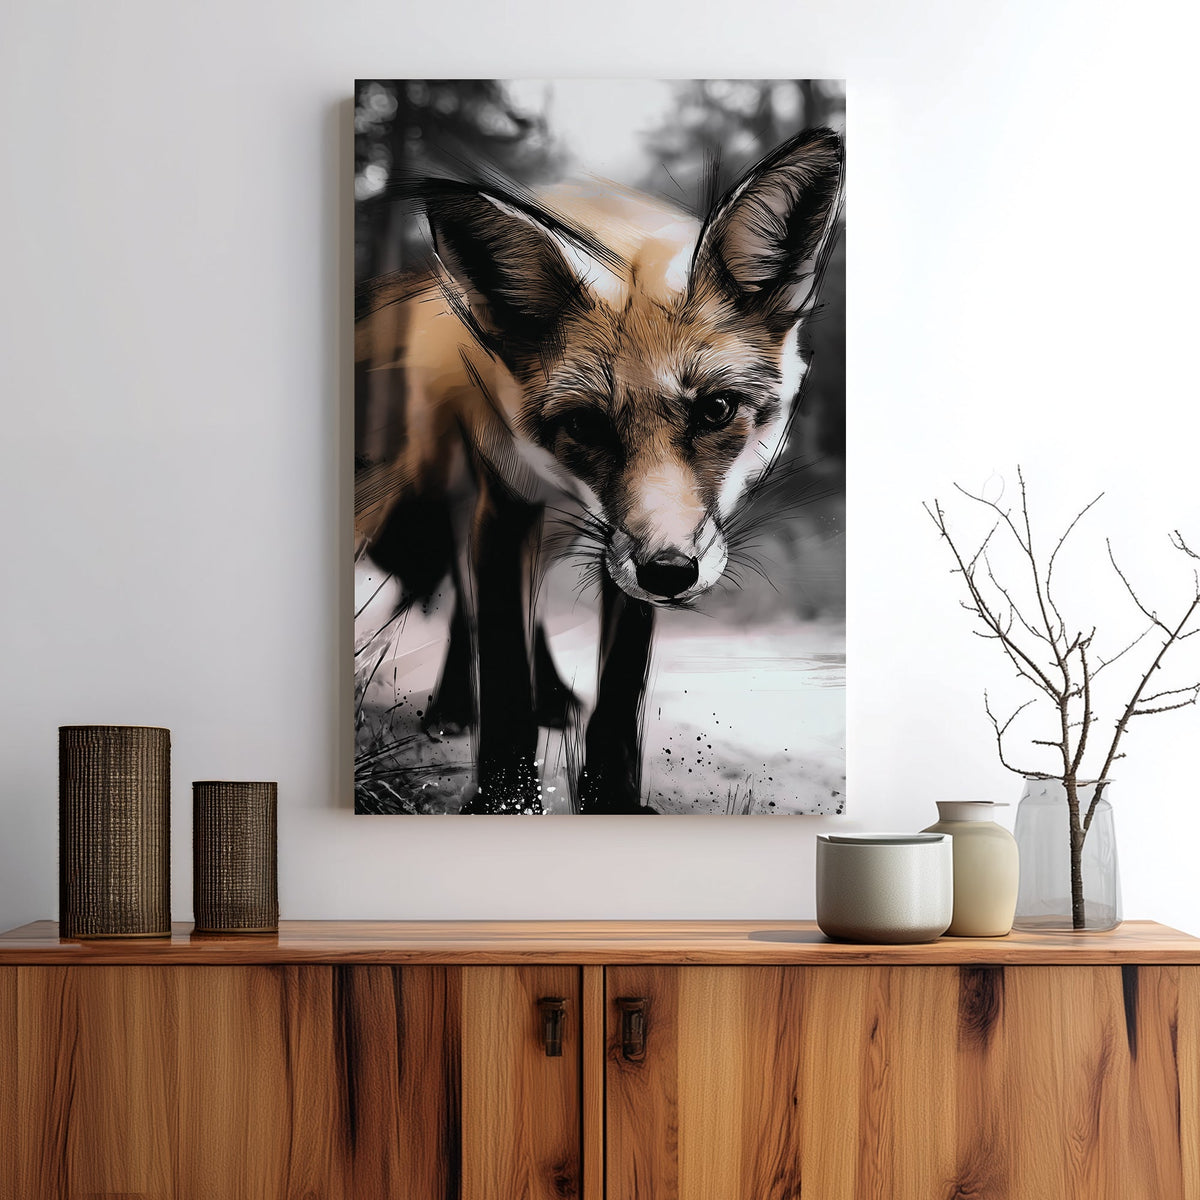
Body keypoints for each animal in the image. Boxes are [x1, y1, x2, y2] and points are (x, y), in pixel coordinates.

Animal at [355, 127, 844, 814]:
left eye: (717, 409)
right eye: (586, 425)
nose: (669, 572)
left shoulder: (630, 540)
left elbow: (620, 680)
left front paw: (611, 794)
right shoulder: (508, 503)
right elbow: (503, 663)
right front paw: (503, 798)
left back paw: (554, 699)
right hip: (455, 487)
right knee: (465, 598)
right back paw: (455, 707)